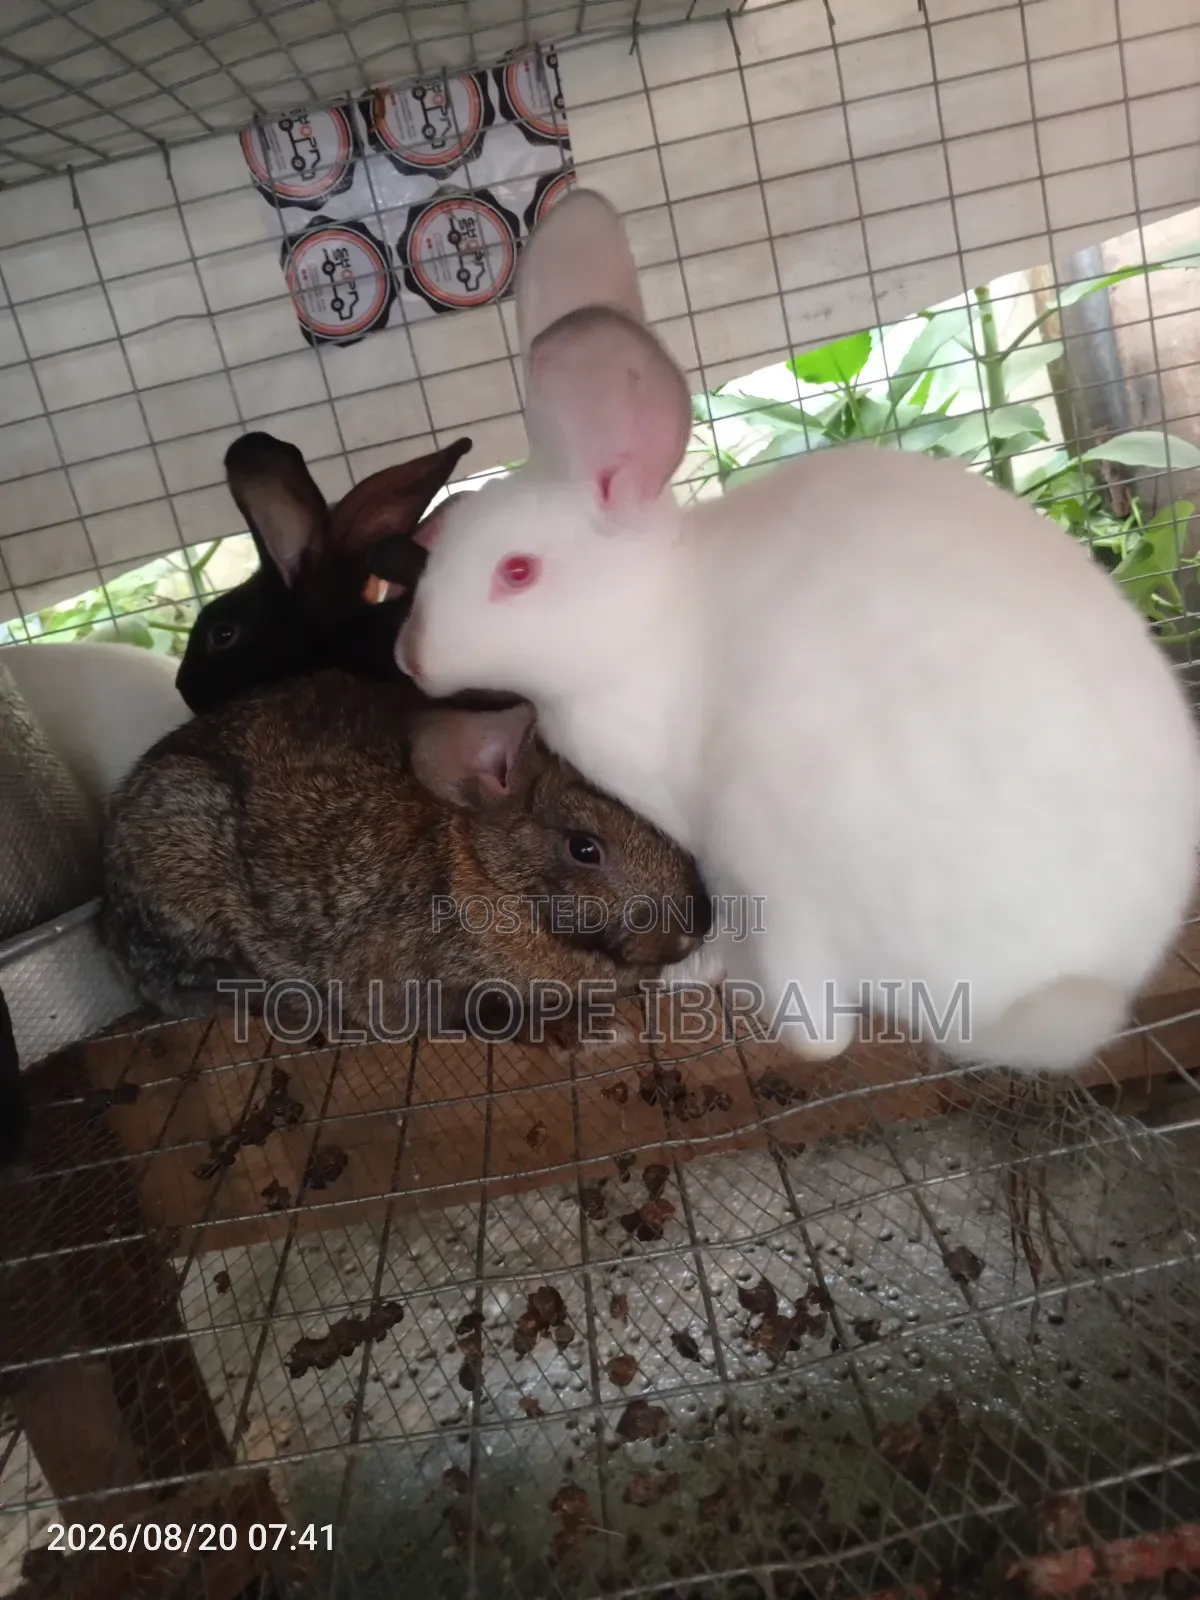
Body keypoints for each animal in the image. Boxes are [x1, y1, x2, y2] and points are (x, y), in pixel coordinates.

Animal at [99, 669, 710, 1051]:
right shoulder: (412, 987)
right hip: (183, 837)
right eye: (584, 847)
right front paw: (584, 1032)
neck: (485, 876)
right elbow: (484, 1012)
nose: (693, 931)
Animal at [386, 186, 1200, 1077]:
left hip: (780, 856)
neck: (651, 617)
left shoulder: (718, 853)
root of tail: (1066, 990)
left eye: (517, 572)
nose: (408, 657)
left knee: (817, 1030)